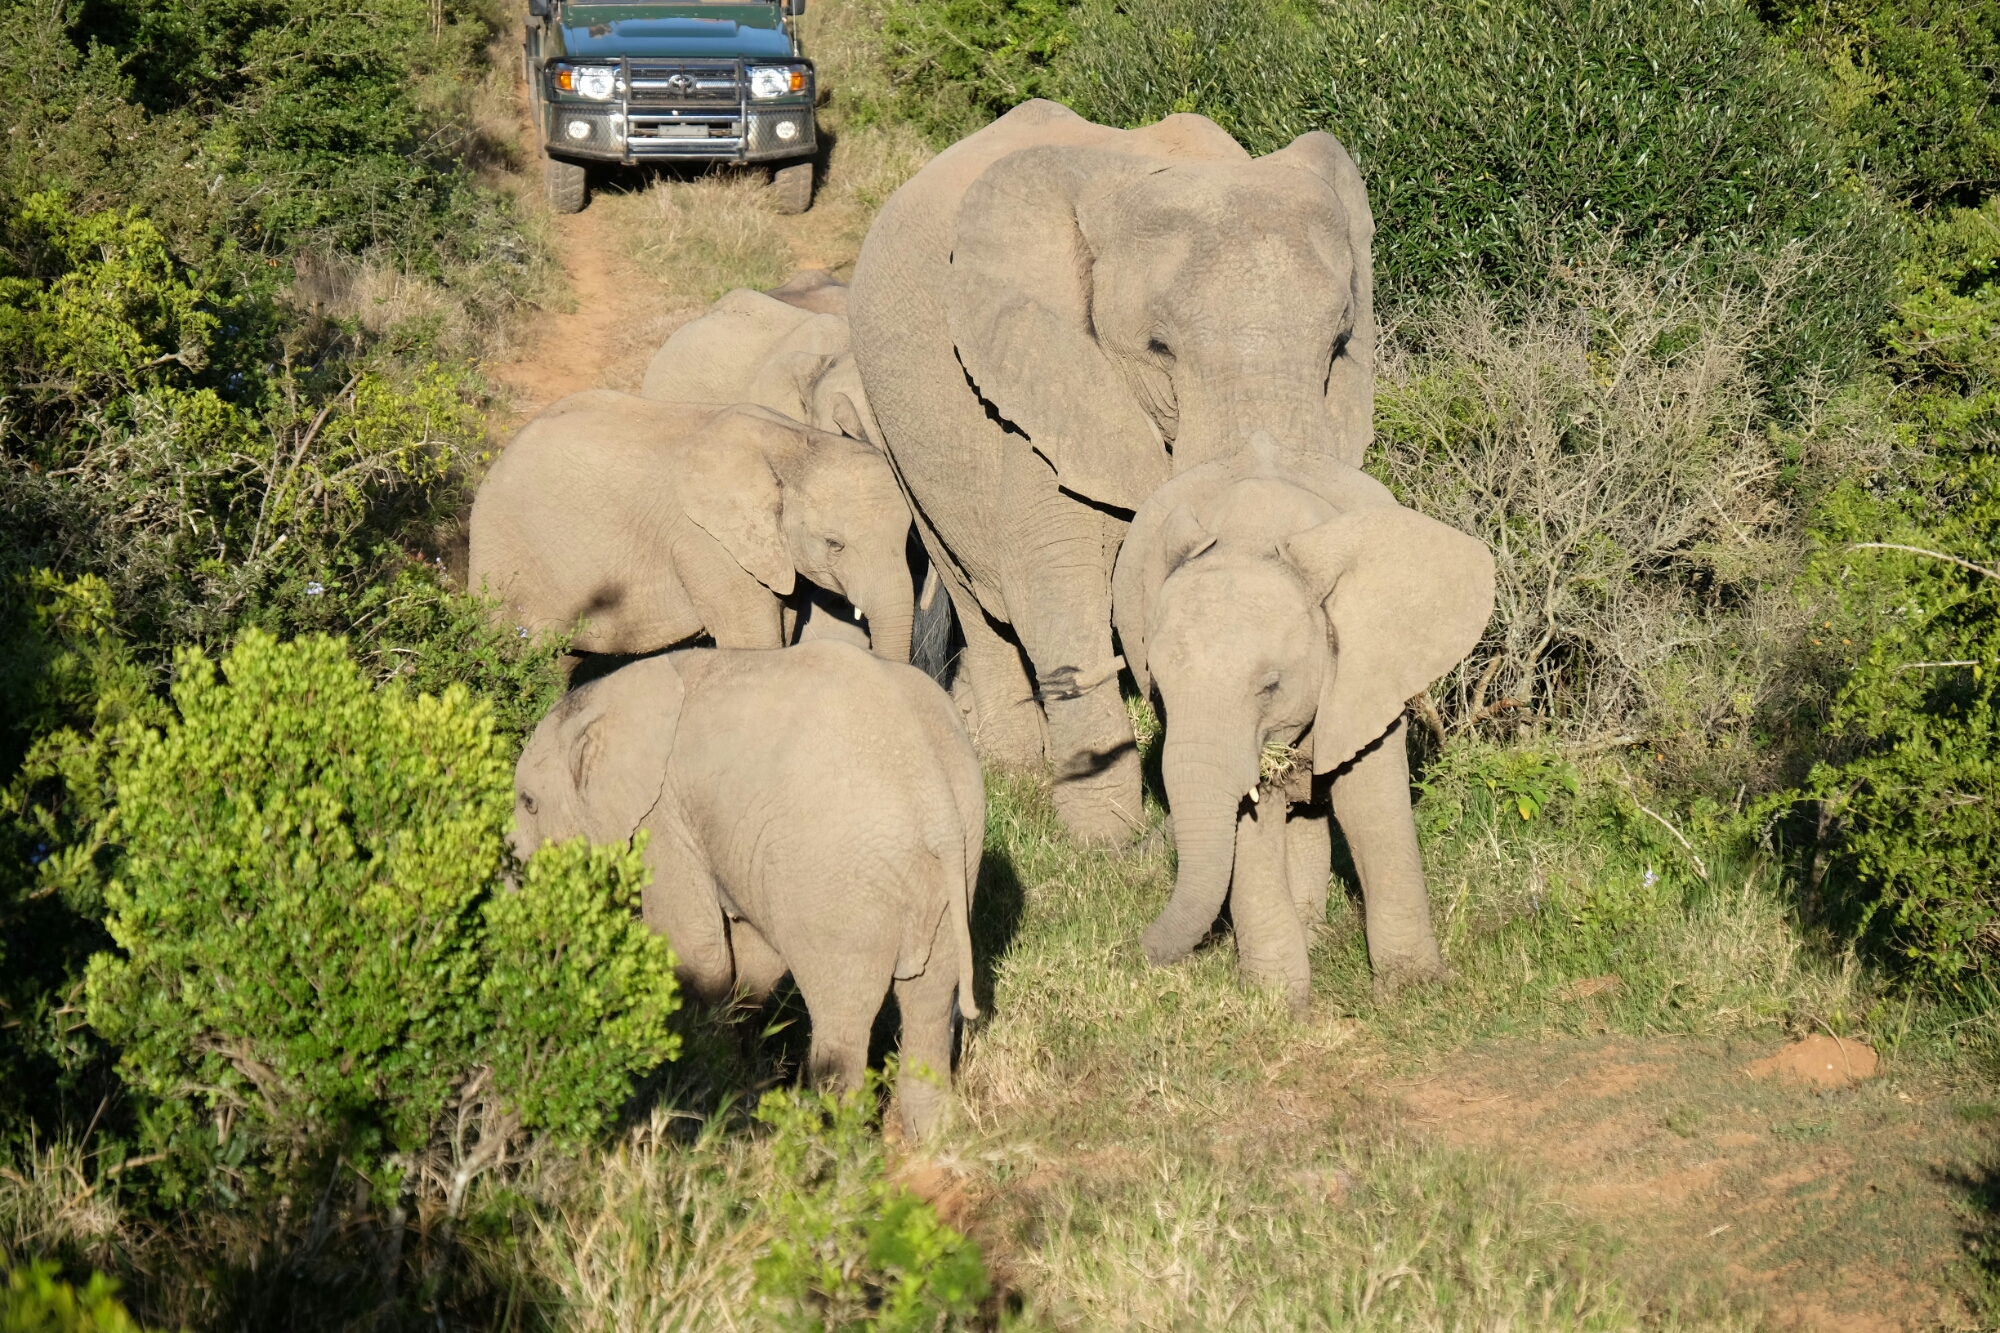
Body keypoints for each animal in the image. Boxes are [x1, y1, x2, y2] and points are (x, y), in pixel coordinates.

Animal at [468, 391, 915, 662]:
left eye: (909, 539)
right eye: (833, 543)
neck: (791, 441)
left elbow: (784, 626)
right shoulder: (706, 545)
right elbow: (753, 642)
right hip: (506, 558)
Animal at [511, 641, 983, 1138]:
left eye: (529, 803)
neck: (611, 696)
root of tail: (937, 806)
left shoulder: (665, 819)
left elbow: (694, 949)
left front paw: (699, 1089)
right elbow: (755, 955)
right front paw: (740, 1078)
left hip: (842, 885)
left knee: (845, 1018)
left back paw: (826, 1144)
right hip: (952, 867)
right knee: (930, 1002)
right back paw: (930, 1138)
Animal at [848, 99, 1377, 845]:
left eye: (1338, 343)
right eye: (1158, 348)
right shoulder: (1046, 385)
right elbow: (1049, 580)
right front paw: (1103, 840)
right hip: (895, 424)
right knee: (973, 592)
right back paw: (1014, 767)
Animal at [1111, 452, 1494, 1008]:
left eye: (1271, 685)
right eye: (1157, 689)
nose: (1135, 952)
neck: (1252, 533)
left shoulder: (1367, 667)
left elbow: (1369, 804)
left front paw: (1412, 991)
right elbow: (1255, 821)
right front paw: (1275, 1004)